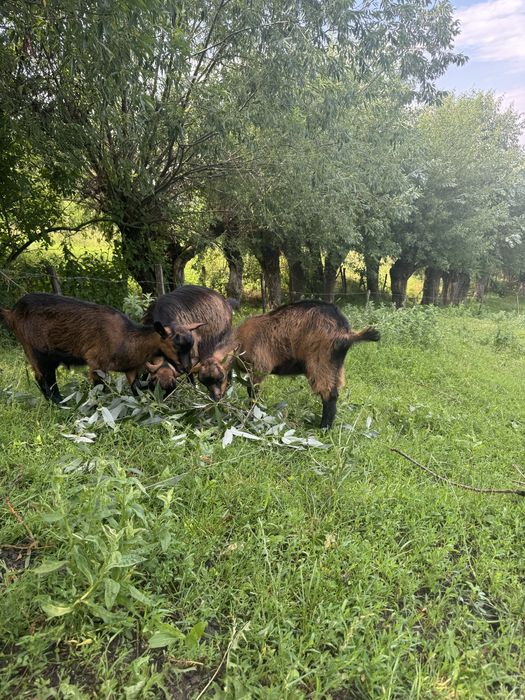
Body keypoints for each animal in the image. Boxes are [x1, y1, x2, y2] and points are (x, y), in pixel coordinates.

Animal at [0, 293, 195, 403]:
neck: (126, 337)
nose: (186, 368)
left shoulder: (130, 369)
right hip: (36, 351)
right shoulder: (95, 363)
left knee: (49, 377)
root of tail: (13, 312)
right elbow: (98, 389)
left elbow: (136, 389)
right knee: (42, 377)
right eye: (175, 345)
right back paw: (56, 403)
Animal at [196, 300, 380, 428]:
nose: (215, 398)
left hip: (320, 361)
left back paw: (323, 428)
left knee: (329, 394)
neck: (240, 342)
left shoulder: (259, 368)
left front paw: (251, 417)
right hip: (336, 364)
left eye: (219, 377)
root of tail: (344, 333)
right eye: (203, 382)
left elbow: (253, 394)